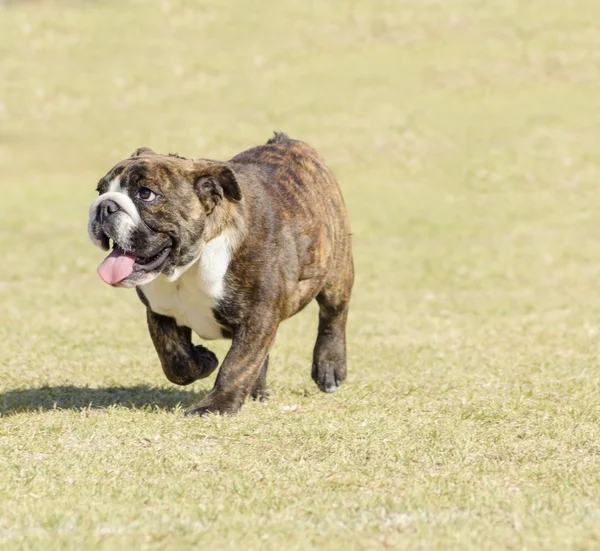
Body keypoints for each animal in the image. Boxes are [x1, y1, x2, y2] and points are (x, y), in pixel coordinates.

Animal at [86, 134, 354, 416]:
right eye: (100, 191)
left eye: (146, 194)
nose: (104, 206)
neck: (190, 265)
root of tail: (287, 141)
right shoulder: (160, 312)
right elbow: (175, 360)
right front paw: (204, 360)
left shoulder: (257, 319)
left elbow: (236, 364)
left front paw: (216, 405)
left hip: (336, 275)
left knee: (333, 316)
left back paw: (329, 368)